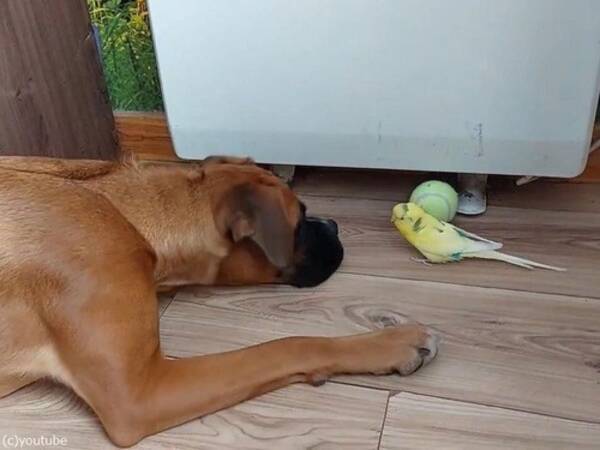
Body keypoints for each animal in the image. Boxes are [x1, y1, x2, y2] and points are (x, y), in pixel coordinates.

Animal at [0, 155, 438, 446]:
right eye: (300, 221)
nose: (333, 224)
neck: (126, 216)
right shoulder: (138, 395)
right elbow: (290, 345)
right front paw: (394, 343)